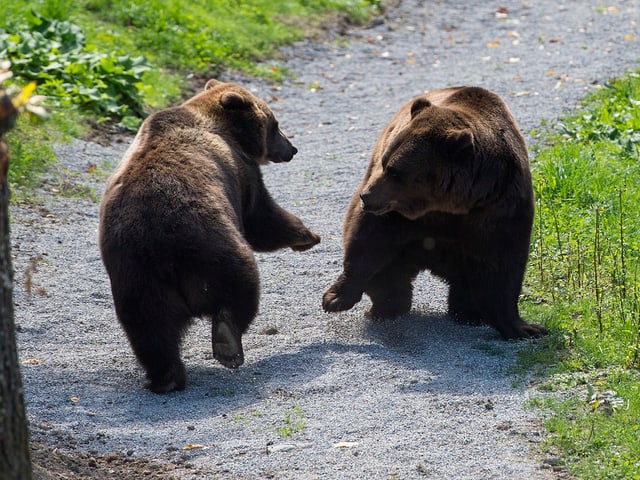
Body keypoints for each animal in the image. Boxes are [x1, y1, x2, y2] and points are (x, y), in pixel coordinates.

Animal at [99, 79, 320, 394]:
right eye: (275, 124)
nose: (292, 148)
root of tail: (162, 247)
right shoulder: (242, 173)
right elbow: (261, 218)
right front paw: (307, 235)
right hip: (211, 243)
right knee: (240, 284)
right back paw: (227, 344)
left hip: (136, 274)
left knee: (149, 328)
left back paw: (166, 378)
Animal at [322, 87, 548, 342]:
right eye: (385, 162)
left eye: (395, 171)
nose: (366, 196)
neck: (448, 203)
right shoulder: (397, 214)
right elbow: (369, 240)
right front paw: (335, 299)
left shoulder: (498, 203)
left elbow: (501, 261)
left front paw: (525, 327)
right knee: (388, 271)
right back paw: (388, 307)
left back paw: (468, 313)